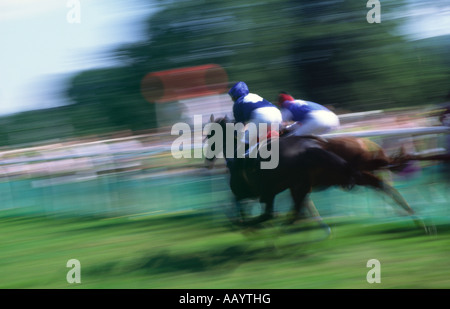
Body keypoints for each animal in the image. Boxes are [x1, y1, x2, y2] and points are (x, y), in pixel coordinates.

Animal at [205, 115, 446, 233]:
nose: (207, 161)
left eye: (209, 134)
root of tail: (368, 143)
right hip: (355, 174)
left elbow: (239, 206)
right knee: (384, 186)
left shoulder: (260, 190)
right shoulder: (287, 188)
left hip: (343, 175)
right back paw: (419, 220)